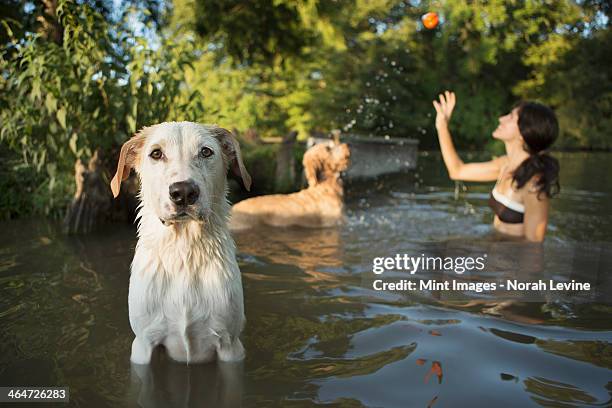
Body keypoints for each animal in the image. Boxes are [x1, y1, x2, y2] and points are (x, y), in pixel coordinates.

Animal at [110, 121, 251, 364]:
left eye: (206, 152)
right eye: (156, 153)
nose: (183, 192)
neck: (183, 251)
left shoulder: (230, 346)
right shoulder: (143, 344)